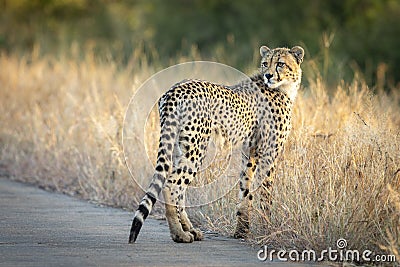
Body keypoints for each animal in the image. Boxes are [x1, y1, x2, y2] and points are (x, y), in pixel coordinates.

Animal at [128, 45, 304, 244]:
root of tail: (176, 88)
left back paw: (190, 229)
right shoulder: (269, 152)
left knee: (177, 187)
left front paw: (242, 230)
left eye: (280, 64)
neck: (283, 88)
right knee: (172, 185)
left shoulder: (249, 151)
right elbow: (266, 192)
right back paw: (179, 234)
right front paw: (268, 226)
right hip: (196, 147)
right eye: (266, 63)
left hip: (178, 146)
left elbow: (245, 188)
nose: (268, 75)